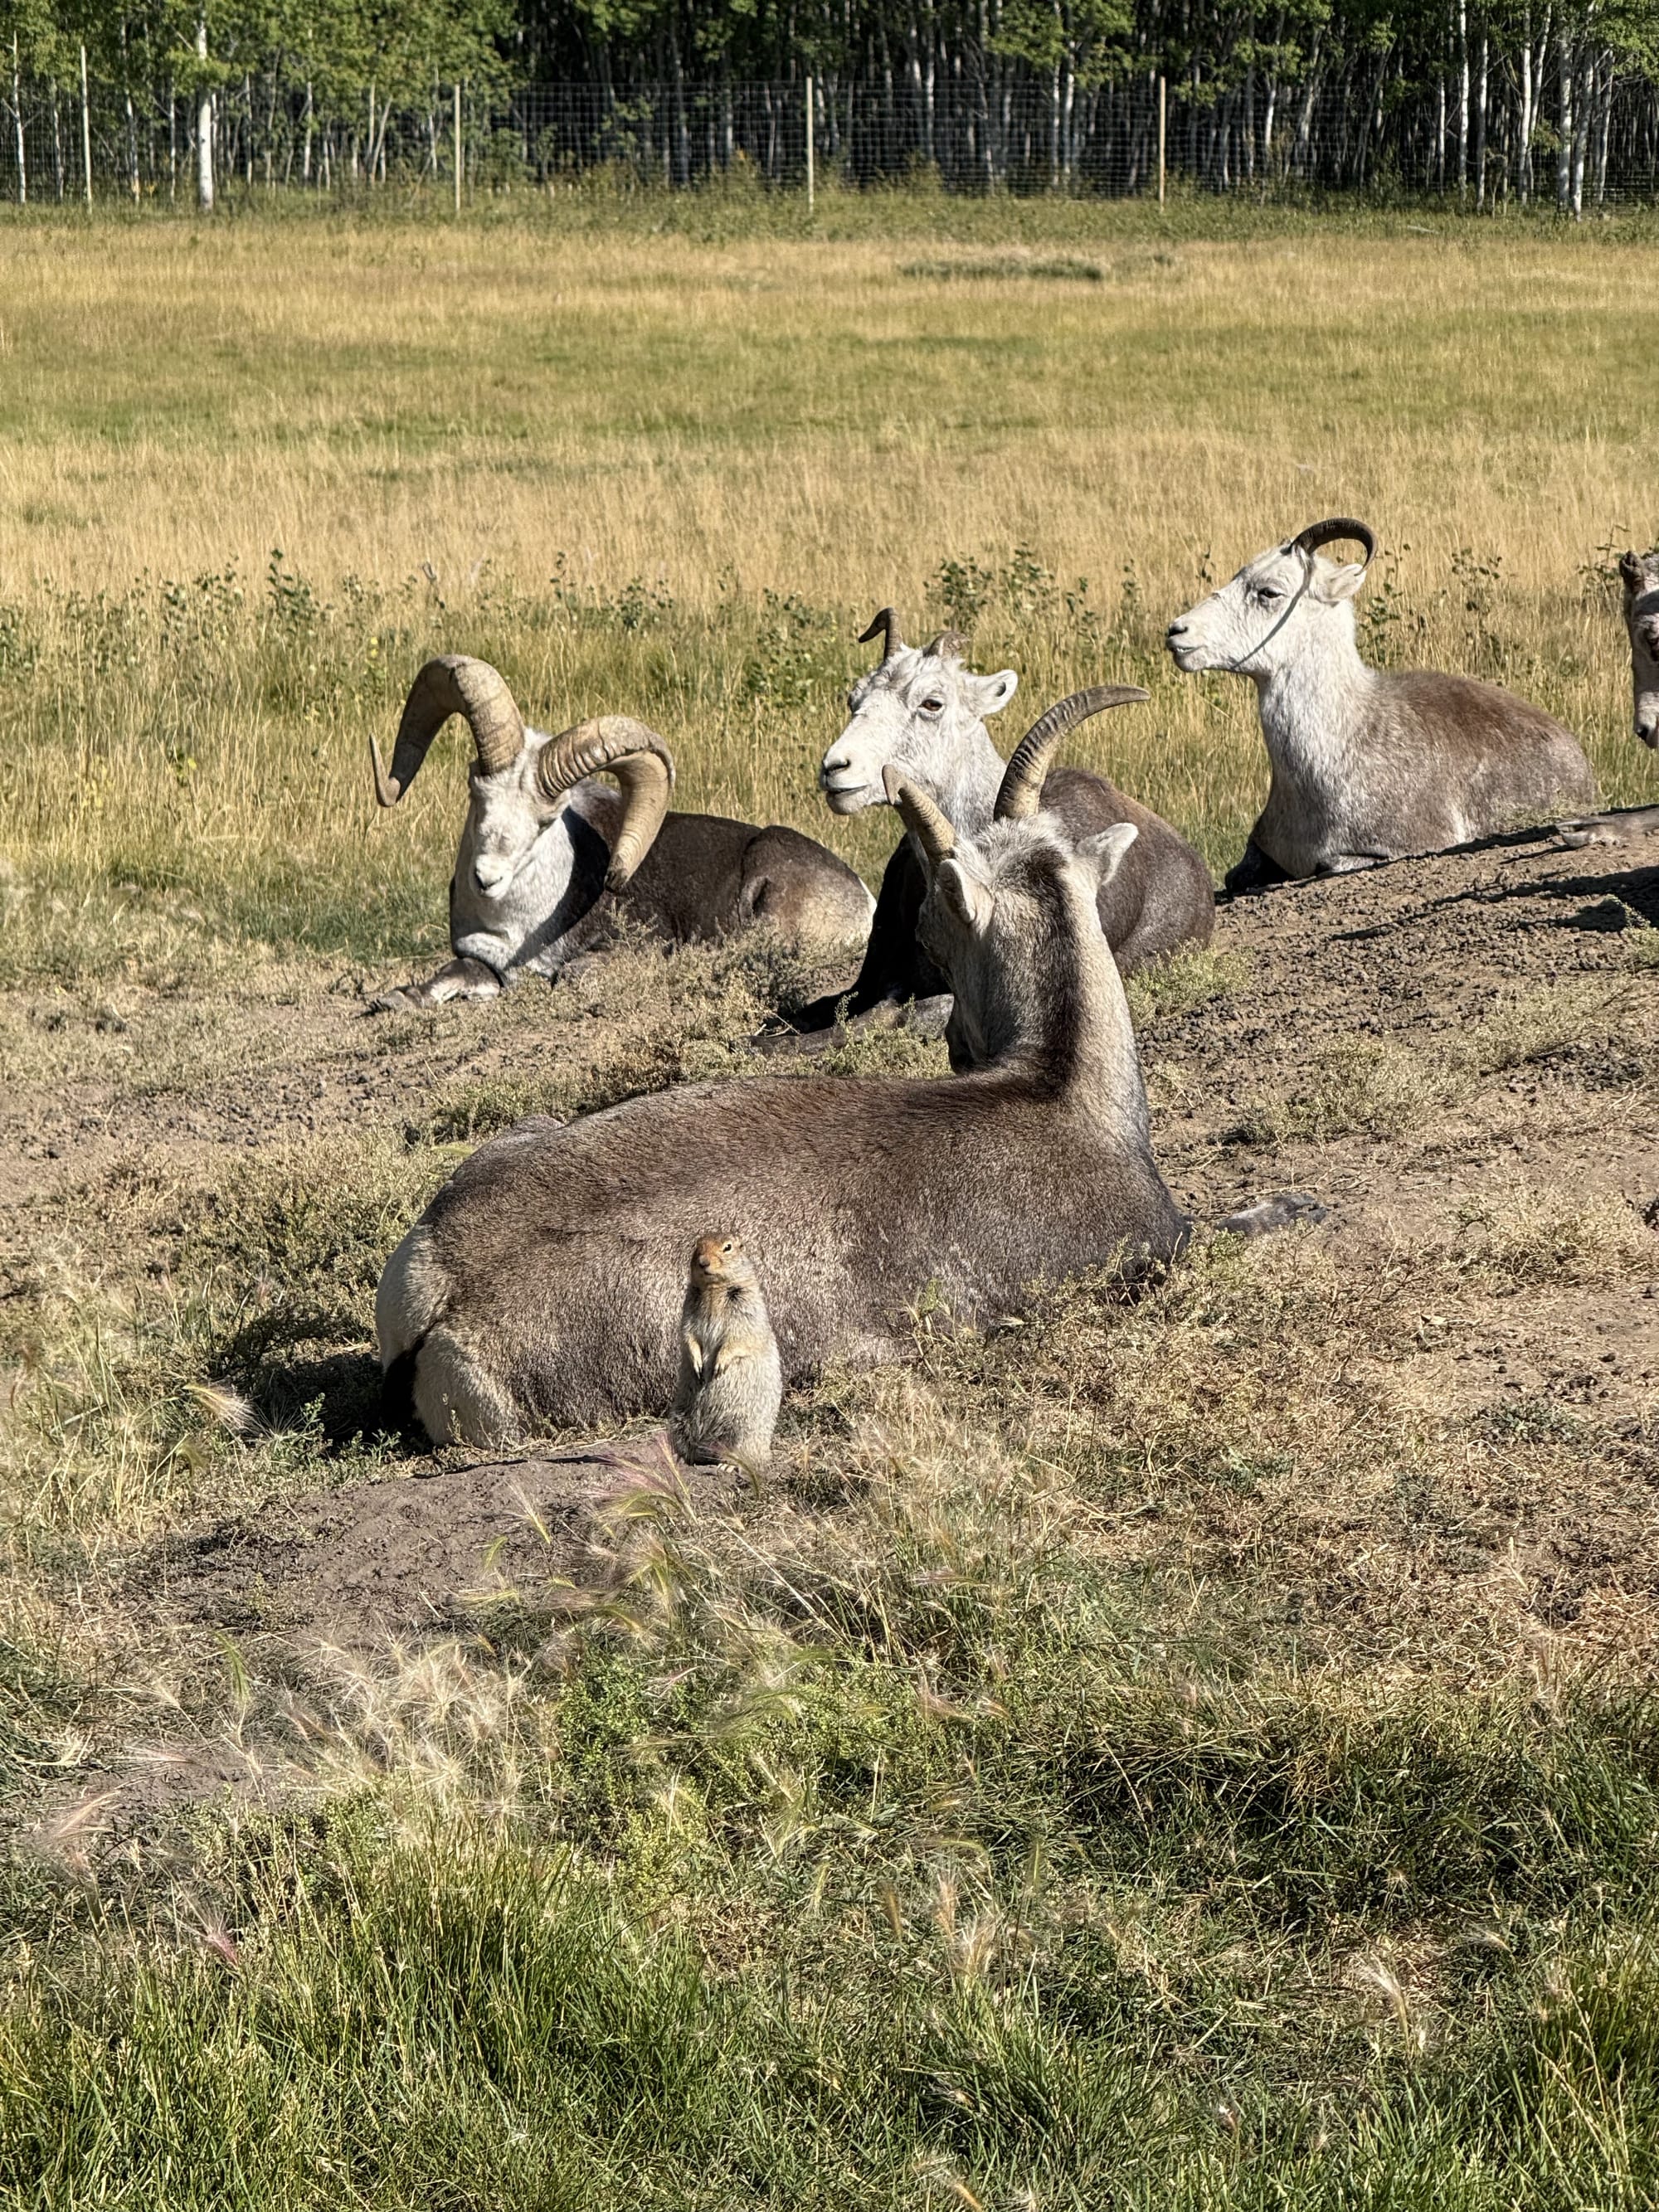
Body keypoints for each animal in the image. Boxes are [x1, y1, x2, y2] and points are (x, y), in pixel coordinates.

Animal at [369, 656, 875, 1011]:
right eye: (477, 791)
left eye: (547, 819)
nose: (487, 878)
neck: (520, 924)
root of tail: (864, 900)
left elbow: (571, 975)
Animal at [670, 1232, 783, 1474]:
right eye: (697, 1245)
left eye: (728, 1247)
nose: (703, 1262)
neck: (714, 1289)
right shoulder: (688, 1308)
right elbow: (687, 1334)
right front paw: (697, 1363)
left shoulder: (746, 1306)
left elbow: (738, 1337)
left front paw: (718, 1364)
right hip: (677, 1420)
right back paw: (680, 1458)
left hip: (742, 1430)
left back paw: (727, 1466)